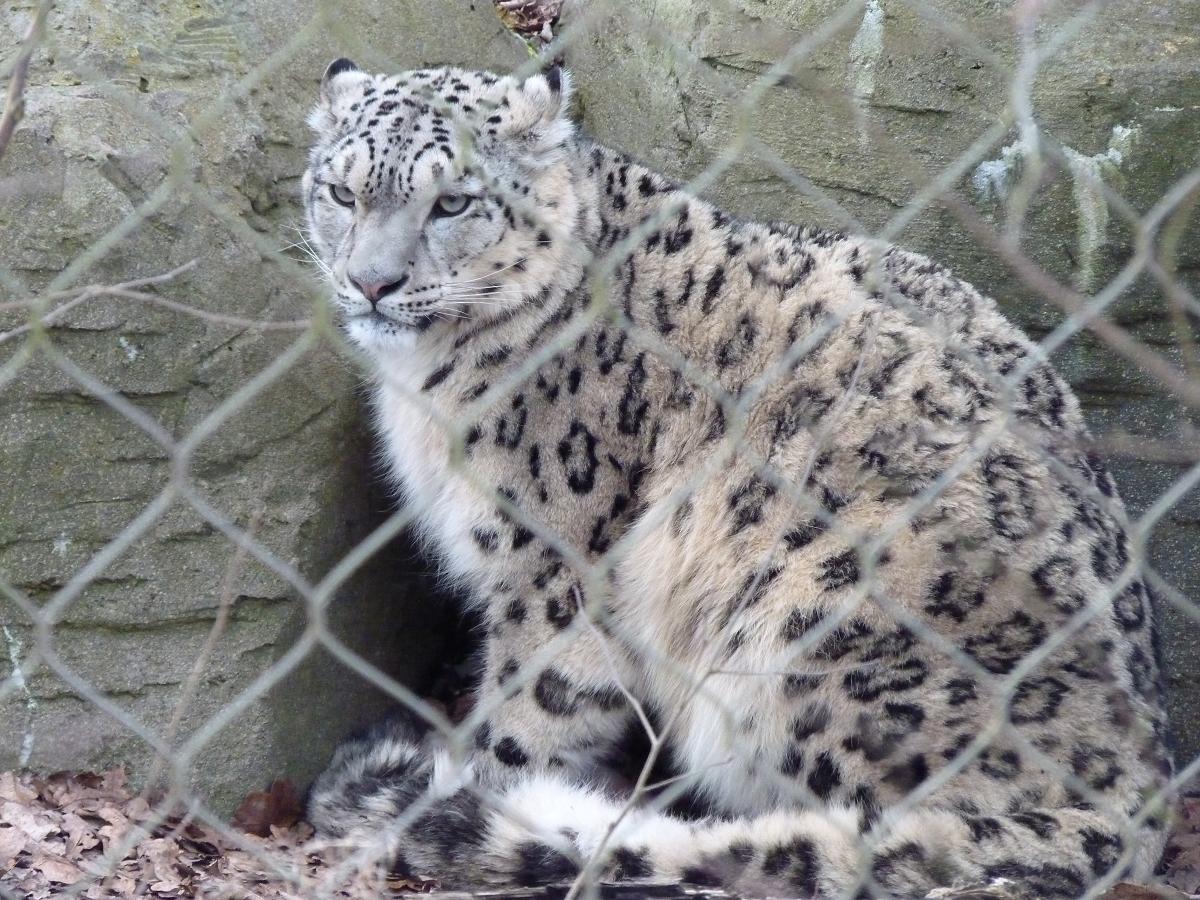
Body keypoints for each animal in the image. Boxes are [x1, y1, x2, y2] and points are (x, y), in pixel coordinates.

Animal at [300, 58, 1173, 898]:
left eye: (453, 202)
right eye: (342, 192)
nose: (372, 282)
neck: (428, 383)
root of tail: (1145, 788)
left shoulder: (554, 571)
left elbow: (533, 711)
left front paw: (472, 787)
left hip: (803, 616)